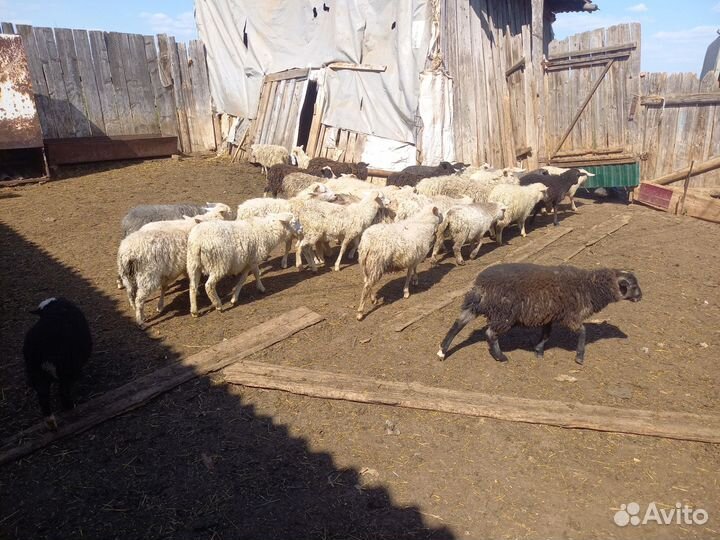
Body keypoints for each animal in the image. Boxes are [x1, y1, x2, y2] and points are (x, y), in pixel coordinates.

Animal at [23, 297, 92, 429]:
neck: (53, 308)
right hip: (66, 367)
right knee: (63, 391)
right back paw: (69, 406)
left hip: (36, 372)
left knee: (43, 396)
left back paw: (50, 422)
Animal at [437, 263, 642, 364]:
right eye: (633, 286)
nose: (641, 297)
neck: (590, 287)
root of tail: (482, 285)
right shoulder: (571, 316)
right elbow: (583, 331)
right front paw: (579, 357)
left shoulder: (548, 315)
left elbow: (547, 334)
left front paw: (539, 350)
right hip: (504, 314)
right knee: (490, 333)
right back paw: (500, 357)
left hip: (476, 306)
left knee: (458, 323)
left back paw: (442, 351)